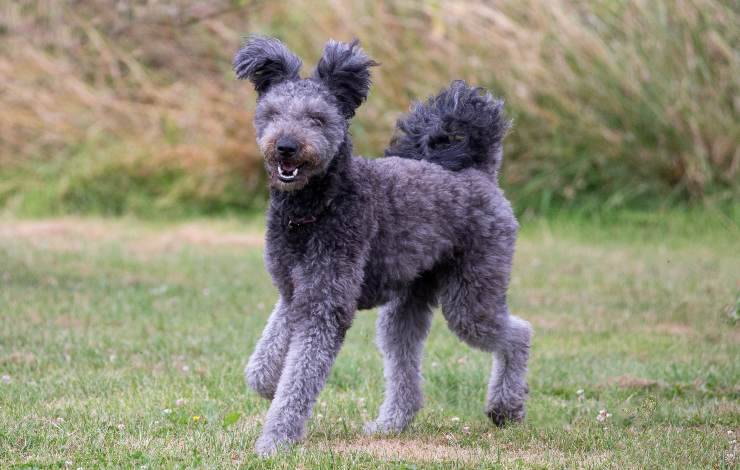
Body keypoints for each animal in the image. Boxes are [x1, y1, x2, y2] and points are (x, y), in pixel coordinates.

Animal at [233, 36, 531, 456]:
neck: (318, 207)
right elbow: (262, 363)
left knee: (518, 333)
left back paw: (506, 407)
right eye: (272, 113)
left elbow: (299, 382)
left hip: (471, 296)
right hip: (407, 305)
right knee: (405, 365)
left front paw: (275, 441)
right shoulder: (294, 293)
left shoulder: (325, 305)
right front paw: (268, 384)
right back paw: (391, 424)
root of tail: (480, 174)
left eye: (317, 118)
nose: (286, 147)